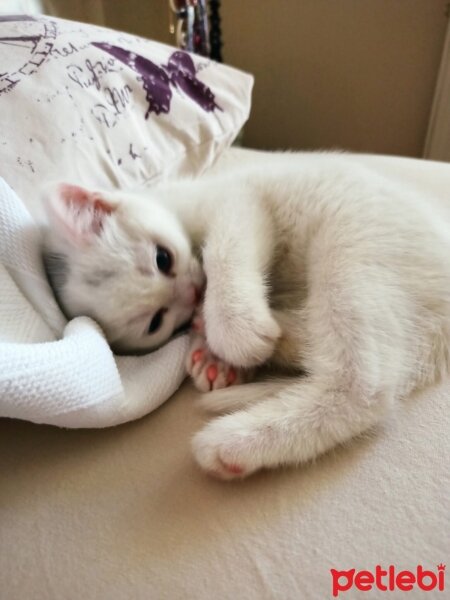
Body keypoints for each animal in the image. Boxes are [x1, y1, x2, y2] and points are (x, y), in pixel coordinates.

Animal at [42, 156, 450, 482]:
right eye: (156, 322)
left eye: (163, 258)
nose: (193, 295)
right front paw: (219, 358)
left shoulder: (238, 199)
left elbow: (223, 250)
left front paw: (233, 332)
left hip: (353, 242)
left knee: (365, 385)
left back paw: (235, 441)